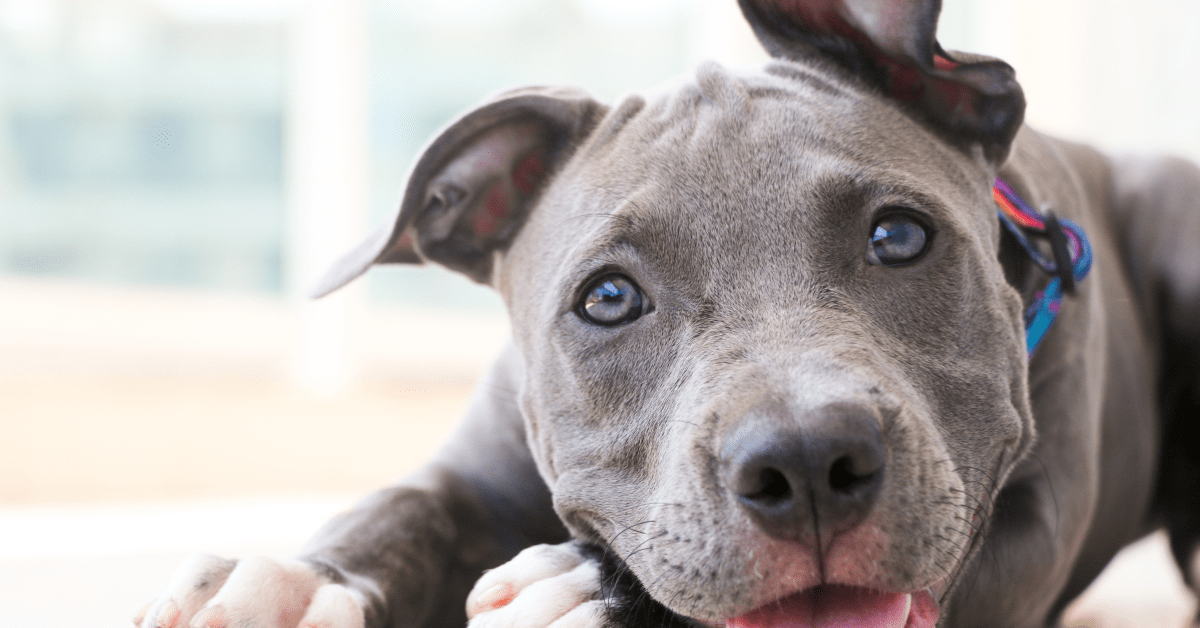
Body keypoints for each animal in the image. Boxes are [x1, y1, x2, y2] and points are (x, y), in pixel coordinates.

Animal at [136, 1, 1200, 628]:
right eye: (608, 299)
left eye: (899, 236)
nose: (806, 463)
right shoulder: (469, 474)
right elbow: (401, 505)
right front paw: (291, 581)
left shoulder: (1023, 534)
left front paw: (593, 595)